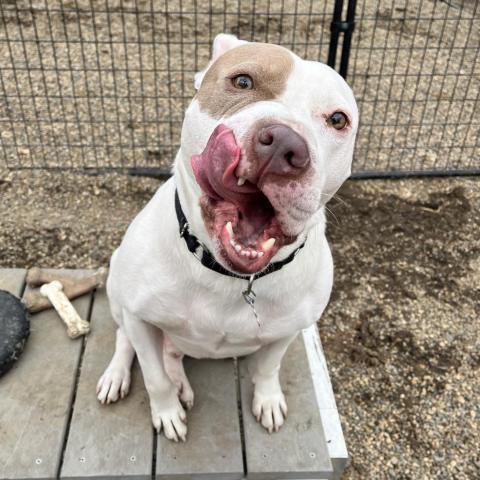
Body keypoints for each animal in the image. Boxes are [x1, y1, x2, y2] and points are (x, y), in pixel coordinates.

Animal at [96, 33, 356, 442]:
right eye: (242, 81)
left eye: (338, 119)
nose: (283, 143)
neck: (228, 275)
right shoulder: (139, 316)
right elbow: (153, 377)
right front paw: (166, 411)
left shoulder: (288, 329)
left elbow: (268, 368)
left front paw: (267, 400)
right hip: (117, 290)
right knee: (127, 340)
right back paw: (118, 376)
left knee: (171, 354)